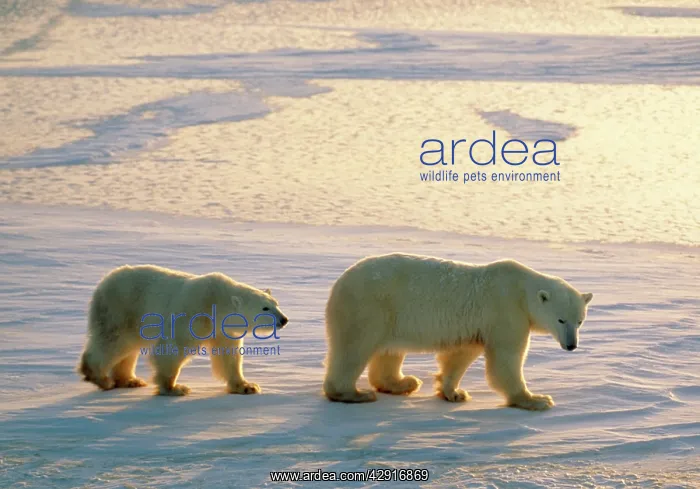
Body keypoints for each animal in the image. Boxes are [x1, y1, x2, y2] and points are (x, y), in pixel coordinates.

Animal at [79, 265, 288, 396]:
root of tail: (103, 283)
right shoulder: (193, 314)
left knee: (128, 348)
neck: (217, 302)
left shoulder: (222, 330)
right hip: (121, 309)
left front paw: (247, 386)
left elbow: (229, 357)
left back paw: (130, 380)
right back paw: (100, 377)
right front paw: (173, 388)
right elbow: (173, 348)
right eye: (265, 308)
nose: (284, 319)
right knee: (114, 341)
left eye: (276, 304)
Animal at [323, 253, 592, 410]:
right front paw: (536, 399)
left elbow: (459, 355)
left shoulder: (477, 325)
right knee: (354, 348)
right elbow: (506, 360)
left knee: (389, 351)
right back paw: (353, 393)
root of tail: (339, 283)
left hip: (389, 316)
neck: (521, 289)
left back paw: (403, 382)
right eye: (560, 319)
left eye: (579, 321)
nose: (571, 345)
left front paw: (453, 392)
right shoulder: (506, 311)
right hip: (370, 307)